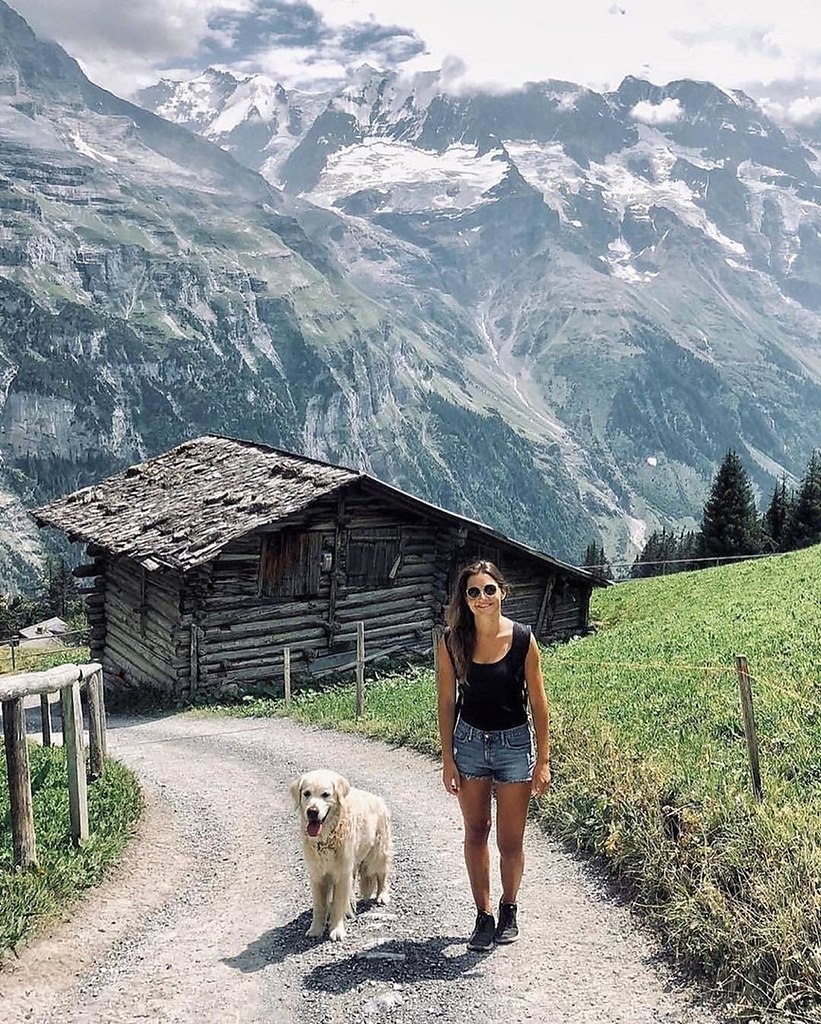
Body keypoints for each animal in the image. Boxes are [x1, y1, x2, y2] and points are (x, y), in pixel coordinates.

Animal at [288, 770, 391, 942]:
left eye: (325, 794)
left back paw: (382, 895)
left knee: (382, 874)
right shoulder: (317, 875)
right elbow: (319, 906)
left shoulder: (342, 874)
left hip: (378, 852)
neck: (326, 839)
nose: (312, 812)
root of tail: (378, 799)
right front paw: (316, 929)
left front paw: (337, 930)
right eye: (306, 793)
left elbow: (338, 904)